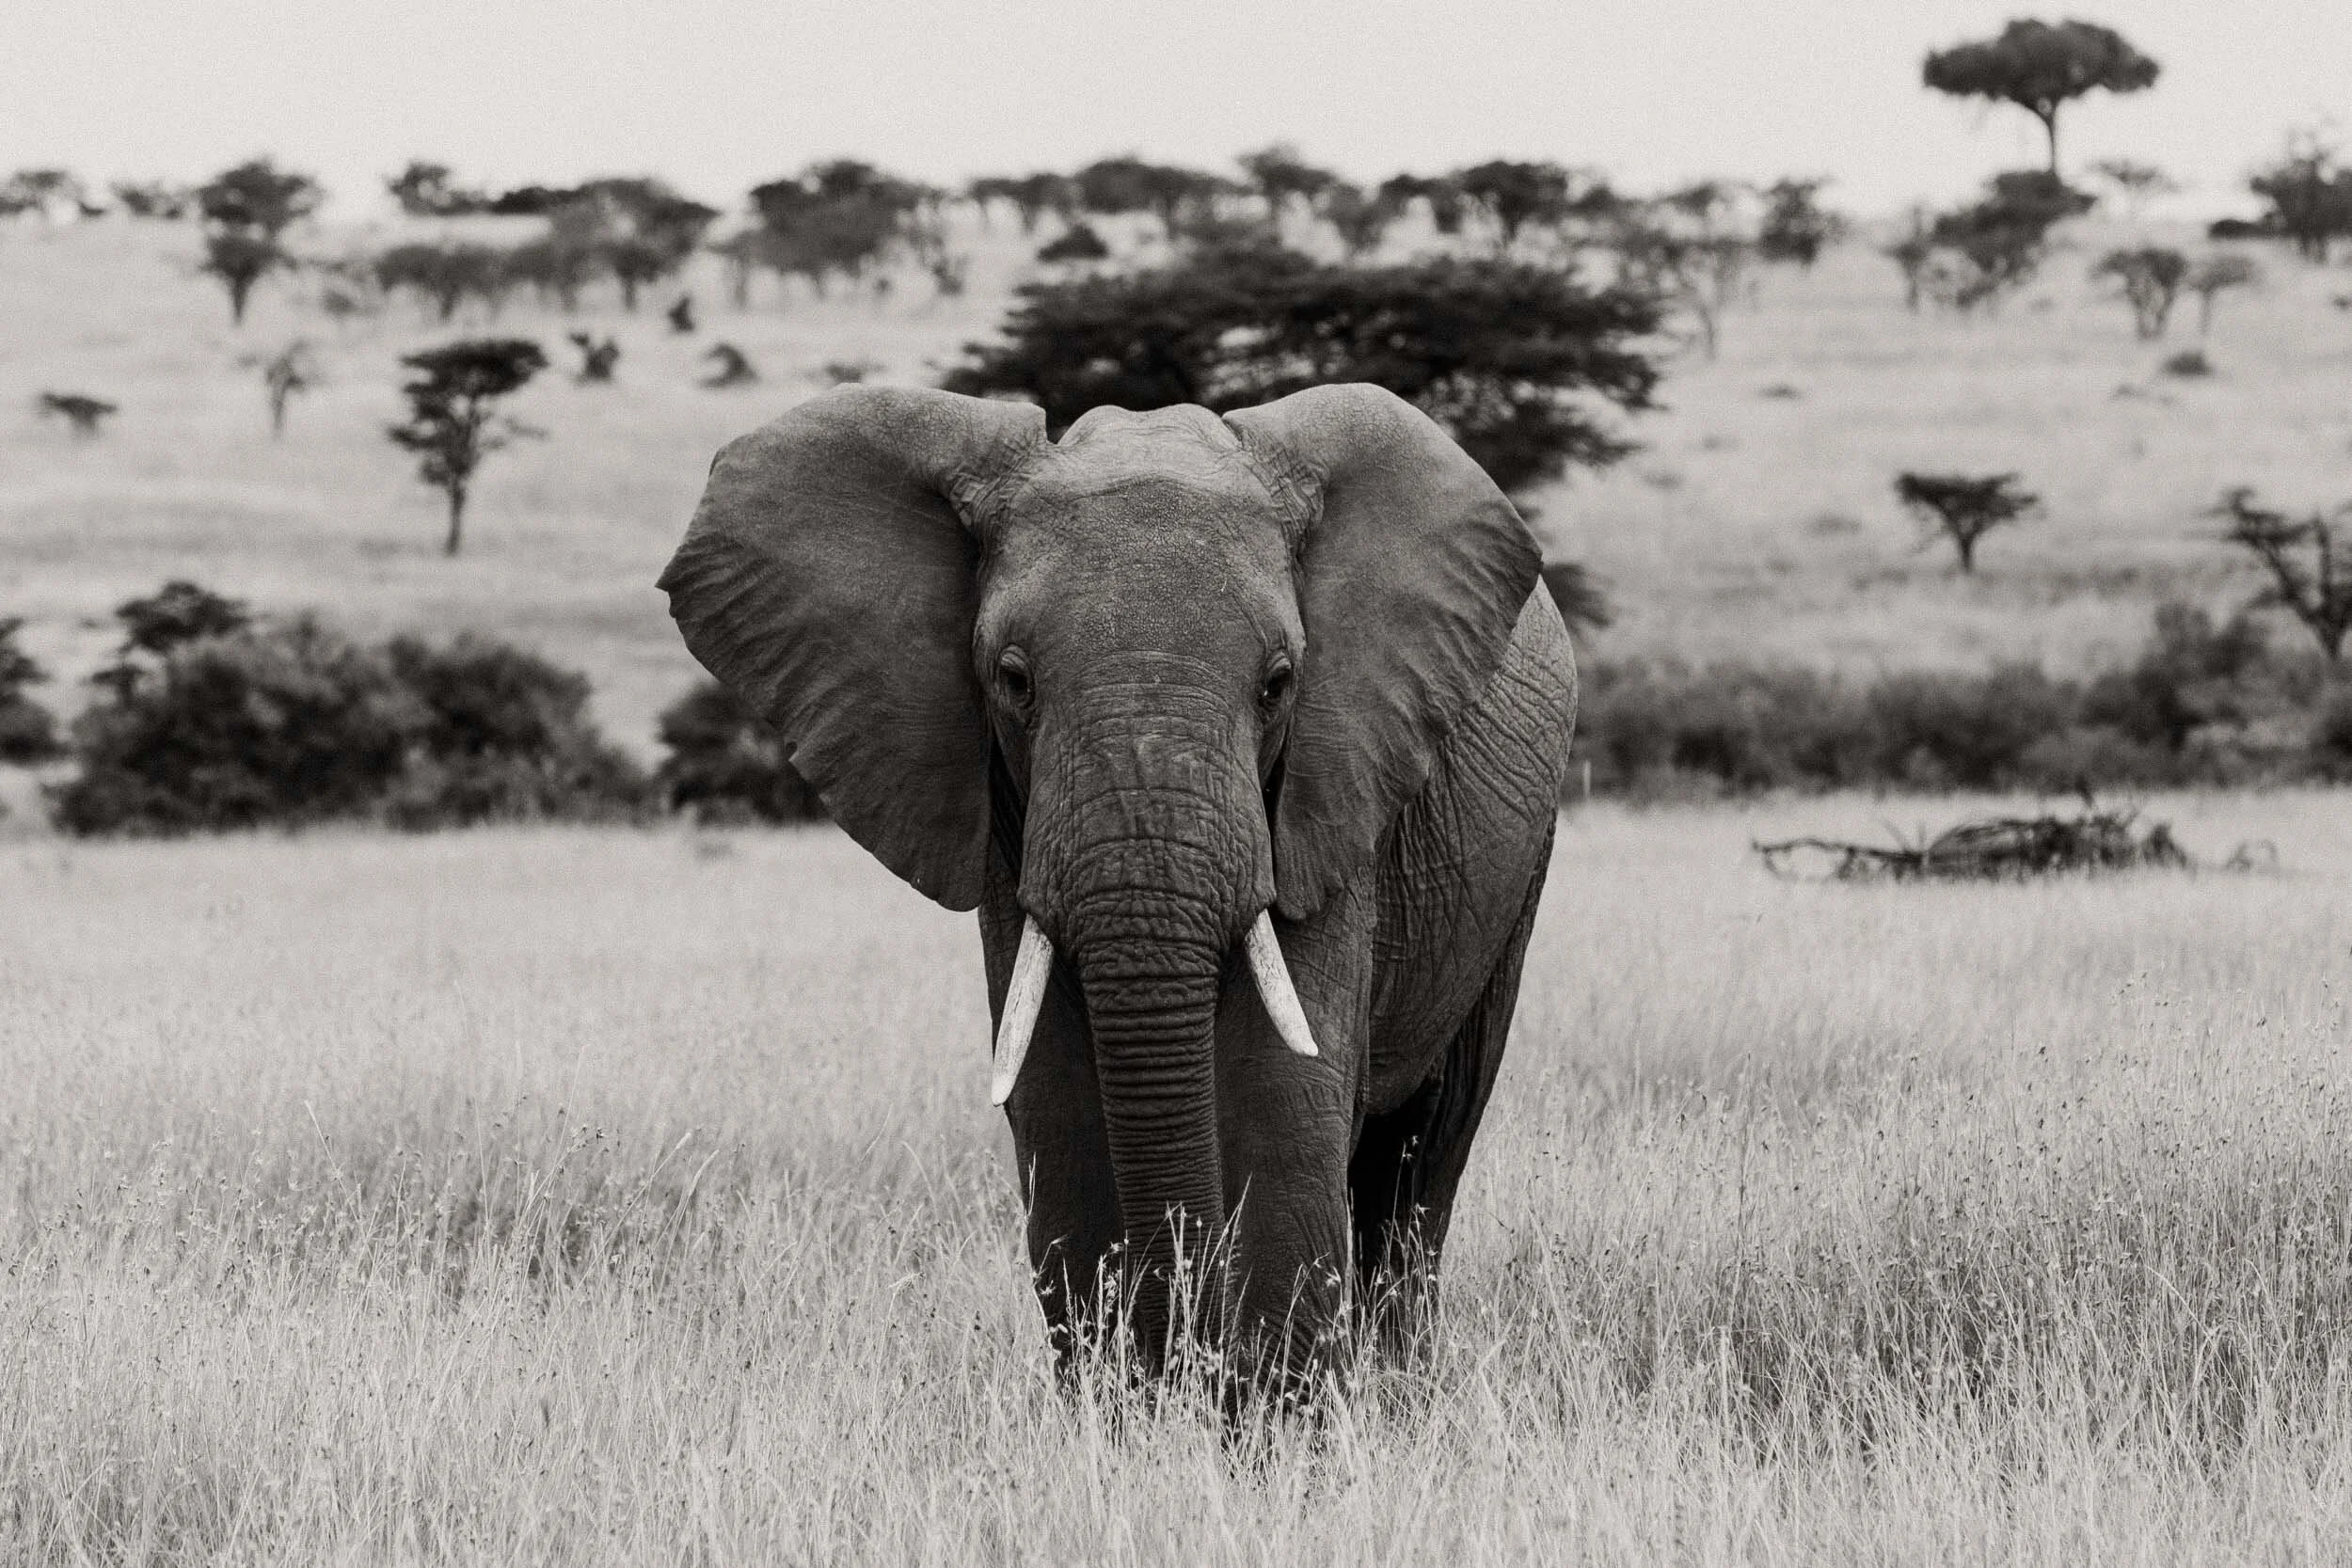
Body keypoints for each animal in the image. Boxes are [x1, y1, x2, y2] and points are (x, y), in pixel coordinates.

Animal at [659, 382, 1575, 1386]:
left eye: (1279, 683)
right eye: (1012, 680)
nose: (1189, 1357)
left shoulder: (1333, 784)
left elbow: (1283, 1090)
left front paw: (1267, 1416)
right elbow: (1056, 1093)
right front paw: (1128, 1405)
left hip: (1519, 861)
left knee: (1422, 1154)